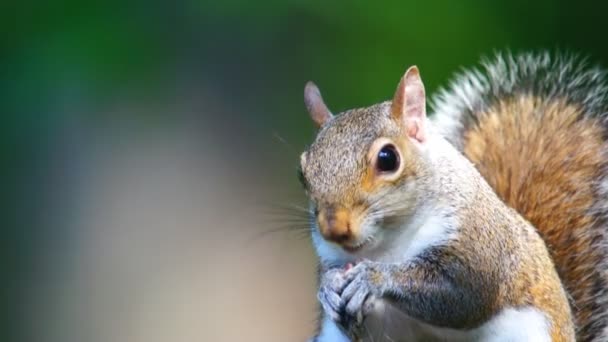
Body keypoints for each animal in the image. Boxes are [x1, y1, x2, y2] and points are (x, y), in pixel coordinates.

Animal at [298, 52, 608, 340]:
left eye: (388, 158)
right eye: (302, 172)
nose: (334, 228)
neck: (388, 244)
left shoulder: (478, 242)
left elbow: (462, 296)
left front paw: (372, 278)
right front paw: (328, 287)